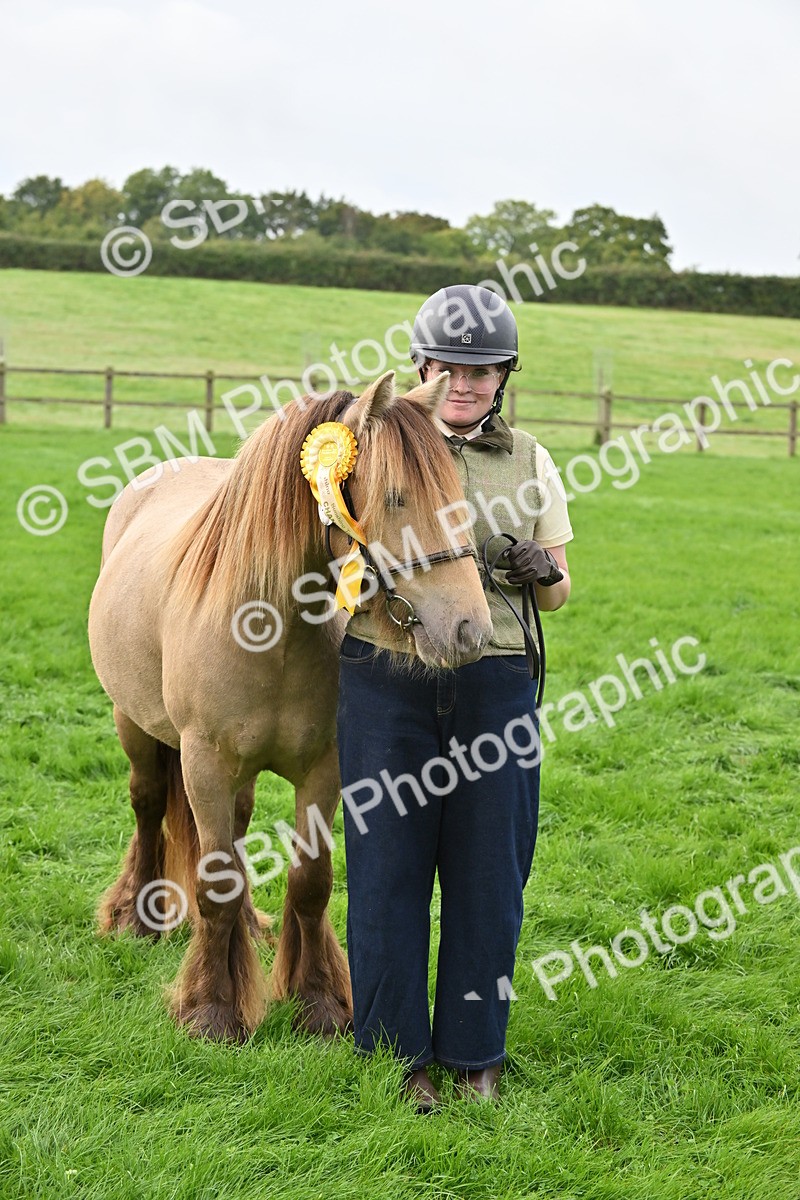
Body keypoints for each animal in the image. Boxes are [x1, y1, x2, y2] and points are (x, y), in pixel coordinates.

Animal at [88, 369, 493, 1042]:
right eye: (395, 498)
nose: (469, 630)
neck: (266, 627)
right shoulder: (204, 763)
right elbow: (214, 885)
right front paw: (212, 1010)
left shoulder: (323, 769)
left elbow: (310, 882)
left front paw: (318, 1000)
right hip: (135, 726)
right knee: (147, 805)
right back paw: (138, 917)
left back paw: (251, 927)